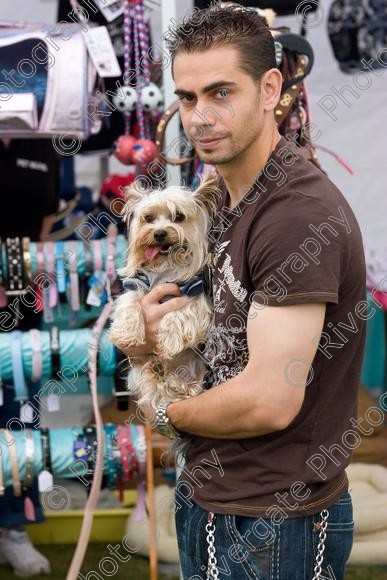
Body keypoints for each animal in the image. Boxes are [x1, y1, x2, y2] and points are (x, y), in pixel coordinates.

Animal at [109, 171, 223, 412]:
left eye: (178, 216)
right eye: (148, 218)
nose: (159, 233)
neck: (165, 267)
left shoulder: (193, 293)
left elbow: (179, 314)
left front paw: (169, 340)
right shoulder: (138, 284)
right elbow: (130, 304)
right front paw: (128, 334)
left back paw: (177, 385)